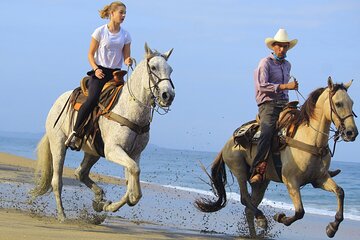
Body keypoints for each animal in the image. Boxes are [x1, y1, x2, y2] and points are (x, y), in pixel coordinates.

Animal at [31, 43, 175, 221]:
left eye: (170, 70)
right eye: (153, 67)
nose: (168, 95)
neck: (130, 109)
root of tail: (56, 102)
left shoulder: (134, 154)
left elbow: (132, 188)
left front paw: (105, 205)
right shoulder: (113, 150)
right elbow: (134, 176)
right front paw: (109, 205)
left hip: (92, 151)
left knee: (81, 173)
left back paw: (99, 197)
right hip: (58, 145)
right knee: (57, 181)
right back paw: (62, 215)